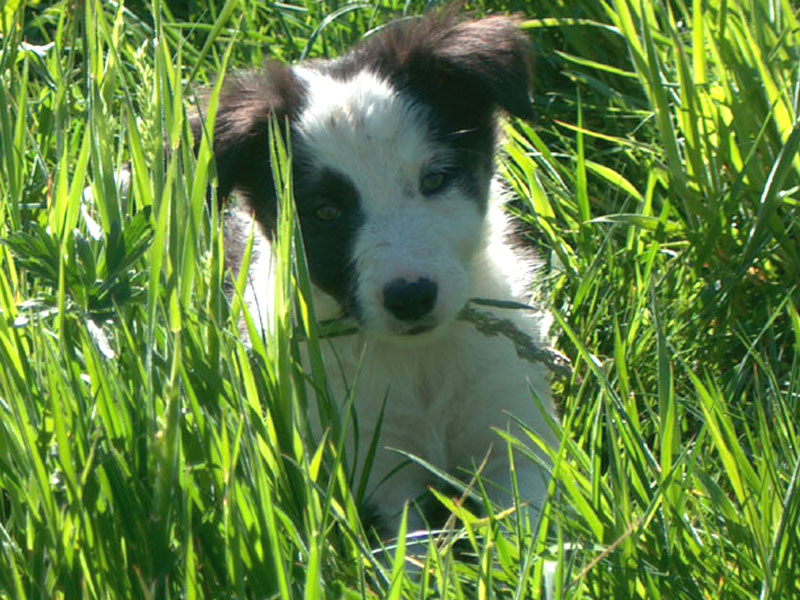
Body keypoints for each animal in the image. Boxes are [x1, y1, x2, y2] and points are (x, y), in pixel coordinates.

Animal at [194, 14, 556, 536]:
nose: (411, 297)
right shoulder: (372, 465)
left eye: (435, 179)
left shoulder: (512, 429)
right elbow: (413, 549)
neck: (418, 360)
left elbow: (532, 535)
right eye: (325, 212)